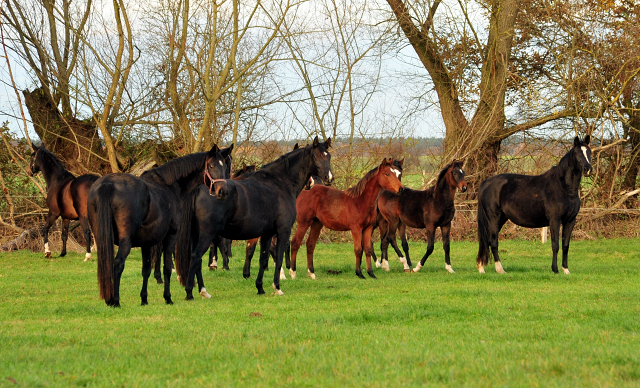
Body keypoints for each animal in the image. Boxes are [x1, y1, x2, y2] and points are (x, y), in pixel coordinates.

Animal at [87, 144, 232, 308]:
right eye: (211, 166)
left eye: (224, 165)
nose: (222, 191)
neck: (169, 185)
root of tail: (108, 184)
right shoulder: (170, 237)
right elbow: (167, 267)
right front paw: (168, 298)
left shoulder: (146, 243)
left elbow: (146, 270)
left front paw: (144, 299)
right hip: (126, 241)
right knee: (118, 263)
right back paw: (115, 301)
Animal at [175, 136, 336, 298]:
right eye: (316, 156)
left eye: (328, 155)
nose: (329, 178)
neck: (280, 183)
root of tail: (199, 189)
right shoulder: (282, 231)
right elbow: (278, 258)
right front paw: (277, 287)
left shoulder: (267, 234)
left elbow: (263, 259)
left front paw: (260, 287)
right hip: (206, 234)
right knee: (196, 256)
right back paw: (191, 292)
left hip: (196, 235)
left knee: (198, 260)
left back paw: (203, 290)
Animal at [478, 135, 592, 274]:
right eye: (577, 153)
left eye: (589, 151)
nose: (588, 169)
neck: (564, 187)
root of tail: (486, 183)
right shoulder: (555, 220)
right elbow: (555, 245)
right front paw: (555, 270)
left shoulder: (570, 221)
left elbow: (565, 245)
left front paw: (566, 270)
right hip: (493, 218)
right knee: (493, 242)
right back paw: (500, 269)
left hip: (500, 219)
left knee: (487, 241)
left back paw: (481, 267)